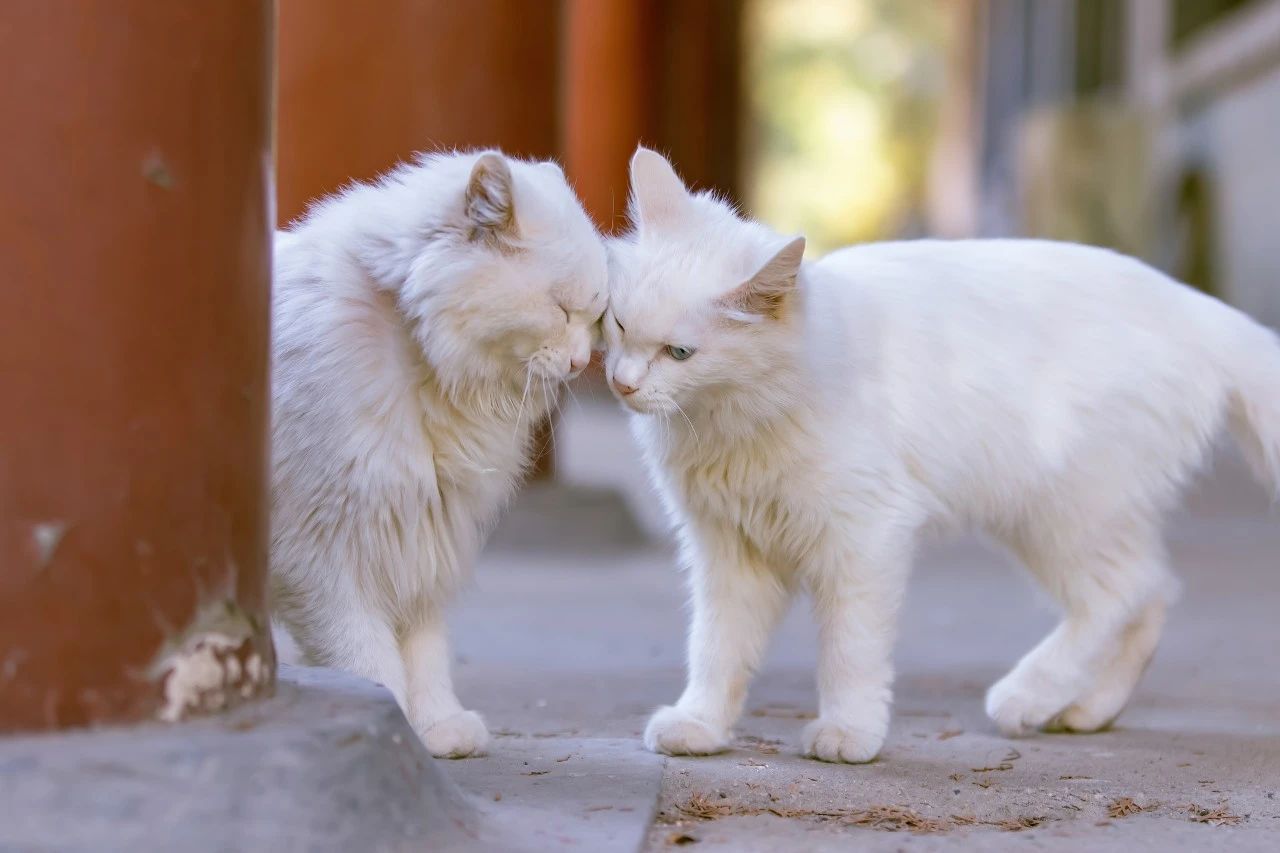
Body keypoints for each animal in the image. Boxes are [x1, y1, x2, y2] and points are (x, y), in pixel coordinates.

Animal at [268, 149, 604, 753]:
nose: (581, 363)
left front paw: (435, 727)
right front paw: (392, 729)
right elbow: (368, 659)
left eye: (595, 319)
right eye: (564, 310)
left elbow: (423, 653)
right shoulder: (322, 551)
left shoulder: (419, 532)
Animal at [601, 147, 1280, 763]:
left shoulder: (863, 537)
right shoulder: (727, 550)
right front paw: (701, 725)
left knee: (1122, 594)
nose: (622, 384)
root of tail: (1197, 307)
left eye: (679, 353)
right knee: (1153, 595)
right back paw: (1088, 711)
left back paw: (1027, 695)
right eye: (619, 325)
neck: (736, 417)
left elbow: (849, 651)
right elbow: (717, 649)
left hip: (1063, 512)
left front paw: (849, 732)